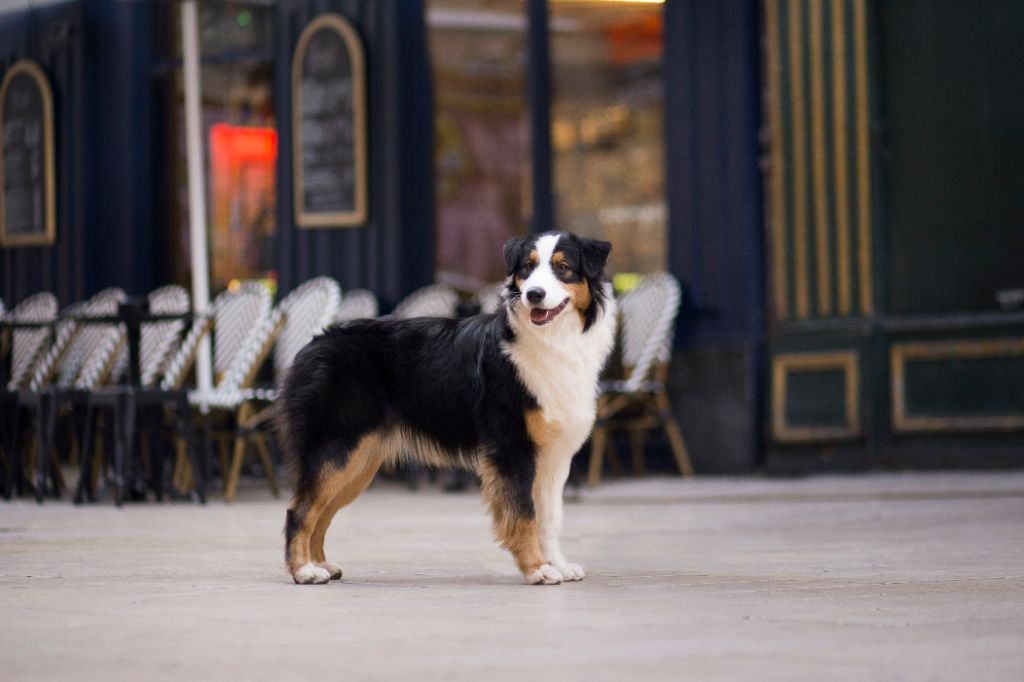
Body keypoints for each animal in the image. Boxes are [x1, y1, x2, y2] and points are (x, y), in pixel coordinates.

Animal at [278, 231, 614, 581]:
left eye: (563, 268)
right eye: (527, 267)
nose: (534, 294)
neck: (551, 339)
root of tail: (313, 344)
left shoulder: (554, 457)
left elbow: (550, 518)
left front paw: (558, 564)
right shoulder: (511, 447)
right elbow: (524, 515)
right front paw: (538, 569)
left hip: (359, 460)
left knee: (322, 513)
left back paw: (321, 564)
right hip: (338, 448)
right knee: (299, 510)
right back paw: (304, 571)